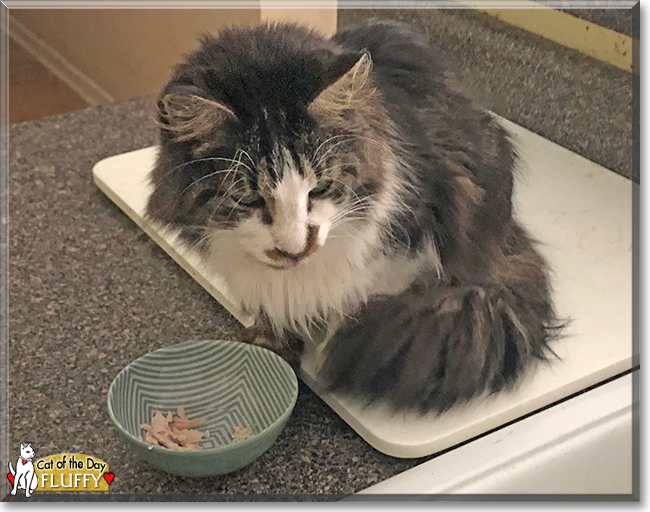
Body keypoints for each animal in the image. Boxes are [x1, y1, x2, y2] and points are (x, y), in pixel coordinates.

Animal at [144, 20, 560, 414]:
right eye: (248, 199)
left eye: (320, 189)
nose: (295, 250)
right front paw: (271, 341)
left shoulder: (409, 239)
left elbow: (360, 298)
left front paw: (333, 336)